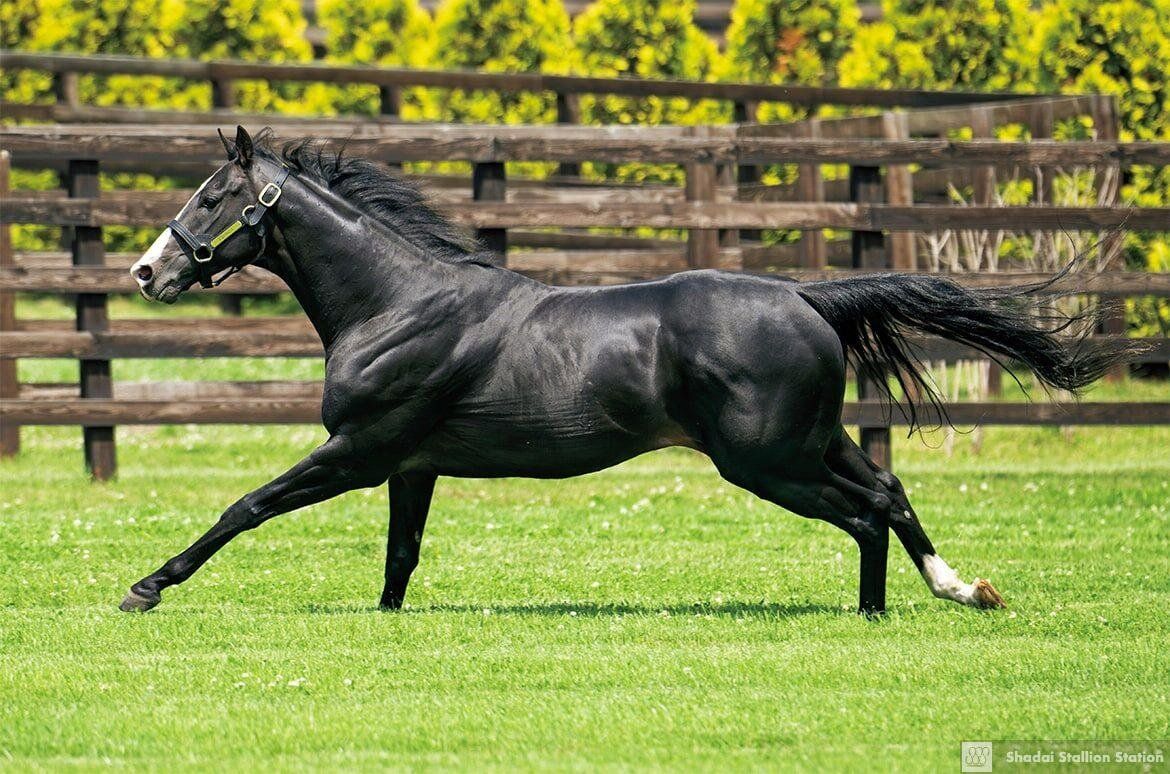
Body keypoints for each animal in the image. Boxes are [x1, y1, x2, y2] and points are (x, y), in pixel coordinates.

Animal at [122, 126, 1132, 616]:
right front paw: (386, 620)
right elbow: (400, 556)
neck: (397, 303)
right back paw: (961, 590)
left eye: (213, 198)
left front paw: (145, 588)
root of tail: (808, 298)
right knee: (887, 490)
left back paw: (876, 615)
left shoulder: (359, 451)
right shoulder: (411, 465)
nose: (147, 272)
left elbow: (245, 506)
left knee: (864, 513)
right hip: (812, 440)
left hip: (765, 461)